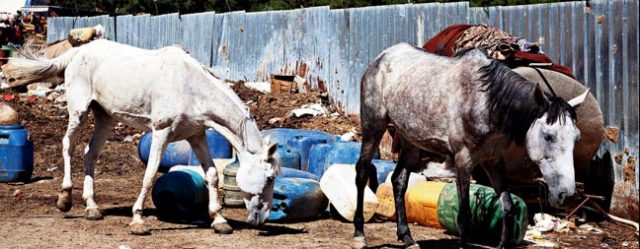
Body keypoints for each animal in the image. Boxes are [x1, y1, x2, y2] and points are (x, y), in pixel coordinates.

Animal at [1, 39, 278, 235]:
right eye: (270, 177)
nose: (262, 217)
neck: (191, 87)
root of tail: (78, 52)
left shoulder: (197, 136)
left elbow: (211, 175)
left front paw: (219, 221)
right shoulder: (161, 133)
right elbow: (150, 174)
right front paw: (137, 221)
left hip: (105, 118)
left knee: (91, 154)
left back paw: (92, 207)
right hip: (79, 111)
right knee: (68, 146)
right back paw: (65, 199)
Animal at [352, 43, 588, 249]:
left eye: (576, 138)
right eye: (548, 137)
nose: (566, 194)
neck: (486, 102)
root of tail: (381, 57)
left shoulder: (494, 161)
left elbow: (507, 206)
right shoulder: (463, 160)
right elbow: (464, 212)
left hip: (411, 142)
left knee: (399, 181)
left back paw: (408, 238)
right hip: (373, 126)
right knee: (362, 172)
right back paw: (359, 236)